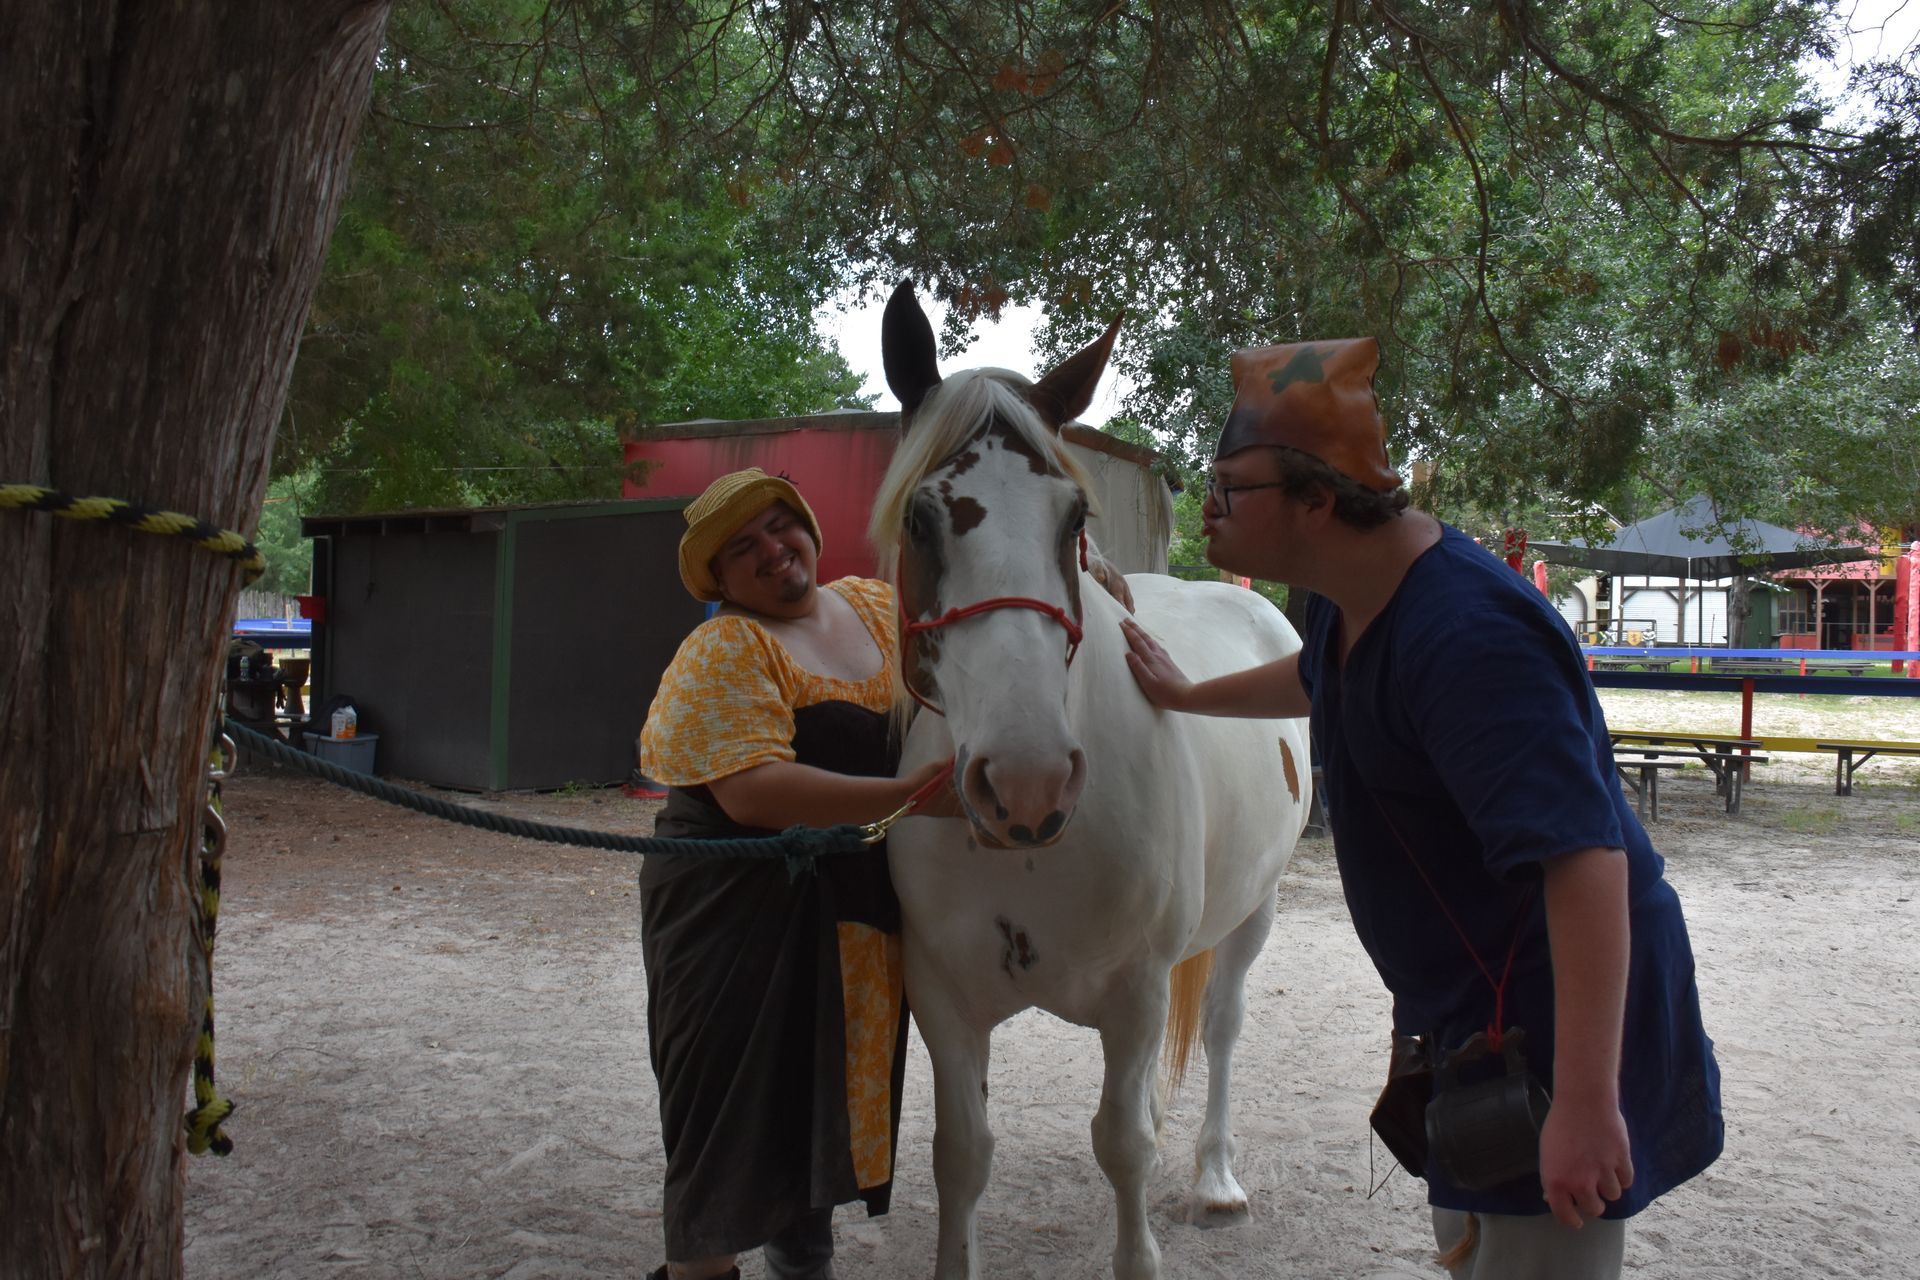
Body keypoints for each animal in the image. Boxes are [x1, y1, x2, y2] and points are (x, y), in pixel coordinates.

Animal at [872, 282, 1311, 1280]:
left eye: (1074, 518)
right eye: (920, 518)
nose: (1027, 784)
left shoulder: (1138, 991)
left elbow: (1123, 1149)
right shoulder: (941, 995)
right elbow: (962, 1153)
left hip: (1254, 910)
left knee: (1220, 1027)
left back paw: (1216, 1178)